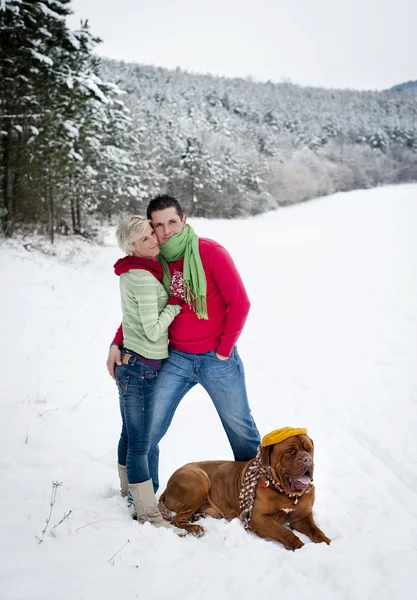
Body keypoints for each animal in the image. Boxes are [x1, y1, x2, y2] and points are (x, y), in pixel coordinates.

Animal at [158, 434, 330, 552]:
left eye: (309, 450)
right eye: (290, 451)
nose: (307, 459)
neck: (287, 494)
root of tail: (167, 485)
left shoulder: (302, 518)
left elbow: (317, 531)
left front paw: (328, 543)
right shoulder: (259, 518)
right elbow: (285, 532)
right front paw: (300, 546)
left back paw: (198, 517)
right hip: (199, 480)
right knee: (176, 520)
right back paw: (195, 528)